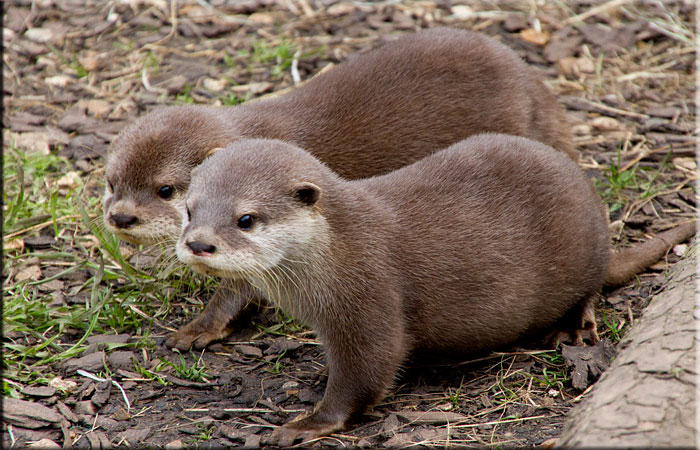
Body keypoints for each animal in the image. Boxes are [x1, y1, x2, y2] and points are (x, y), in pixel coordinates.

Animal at [104, 27, 575, 350]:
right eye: (110, 183)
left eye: (166, 190)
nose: (122, 217)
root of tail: (537, 89)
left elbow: (238, 290)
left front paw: (199, 328)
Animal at [175, 136, 695, 444]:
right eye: (188, 208)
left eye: (246, 218)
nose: (198, 243)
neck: (337, 251)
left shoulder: (371, 297)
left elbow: (367, 372)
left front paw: (309, 424)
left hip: (584, 253)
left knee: (590, 286)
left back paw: (573, 328)